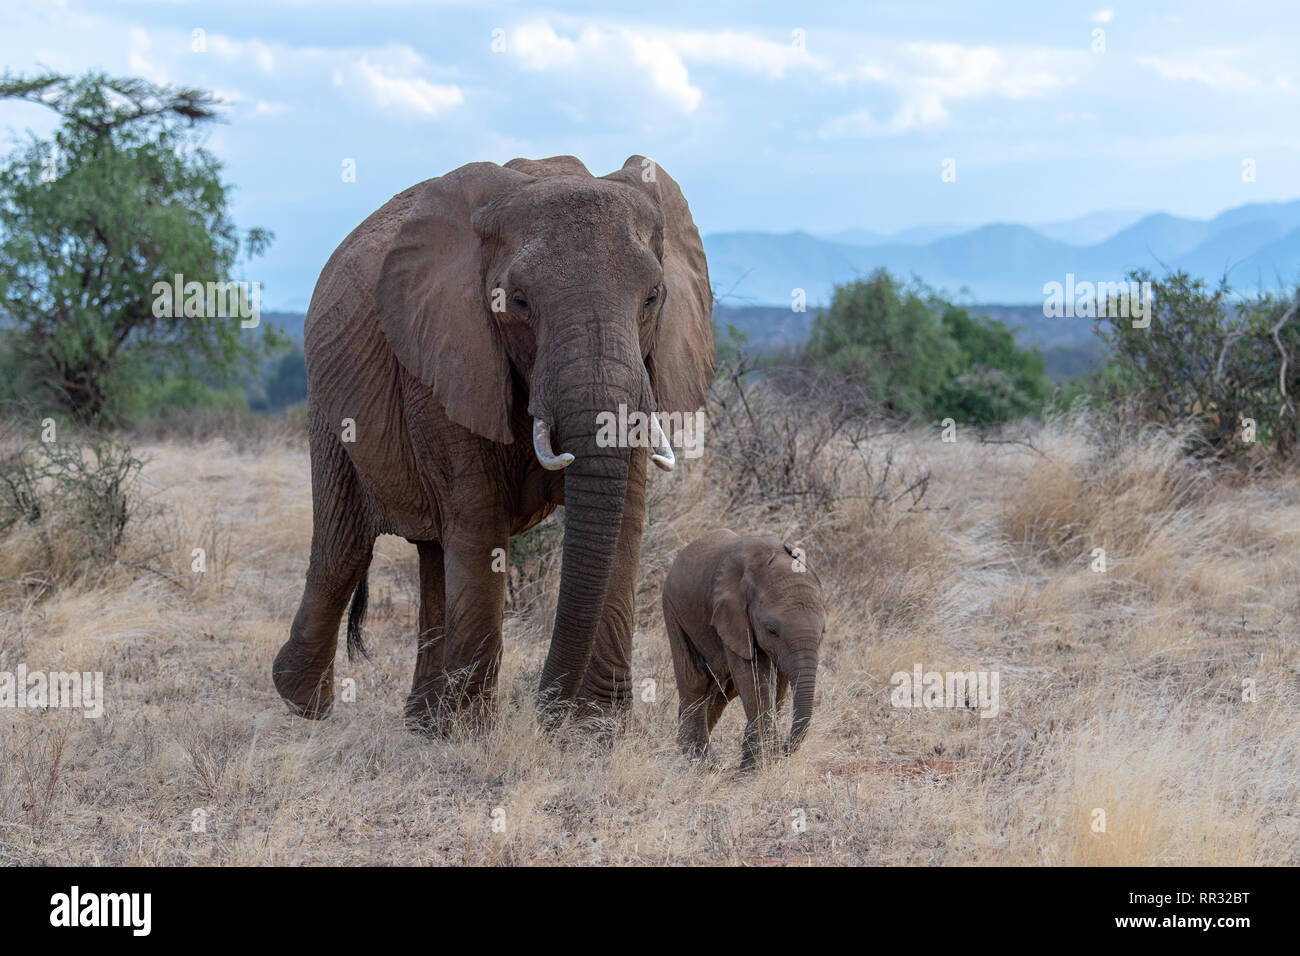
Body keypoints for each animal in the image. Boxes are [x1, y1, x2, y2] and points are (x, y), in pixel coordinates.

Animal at [271, 155, 712, 733]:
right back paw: (306, 704)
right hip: (326, 405)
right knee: (344, 549)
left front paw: (592, 732)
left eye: (653, 298)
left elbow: (627, 514)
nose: (545, 709)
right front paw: (472, 733)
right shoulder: (446, 350)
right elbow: (478, 515)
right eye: (517, 302)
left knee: (434, 553)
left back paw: (423, 722)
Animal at [665, 530, 826, 770]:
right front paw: (756, 769)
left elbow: (778, 684)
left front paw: (763, 762)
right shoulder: (733, 617)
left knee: (723, 689)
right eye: (771, 630)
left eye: (822, 632)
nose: (786, 749)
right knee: (695, 680)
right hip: (674, 611)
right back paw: (700, 764)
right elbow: (755, 678)